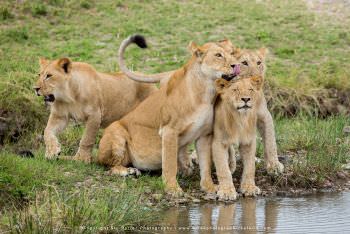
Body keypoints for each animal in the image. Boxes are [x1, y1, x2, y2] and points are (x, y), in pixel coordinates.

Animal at [98, 35, 241, 196]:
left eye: (232, 53)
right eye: (218, 55)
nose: (236, 65)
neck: (206, 92)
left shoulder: (204, 135)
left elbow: (205, 165)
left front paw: (208, 187)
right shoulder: (169, 131)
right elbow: (170, 163)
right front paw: (172, 188)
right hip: (116, 132)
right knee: (109, 166)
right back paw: (128, 171)